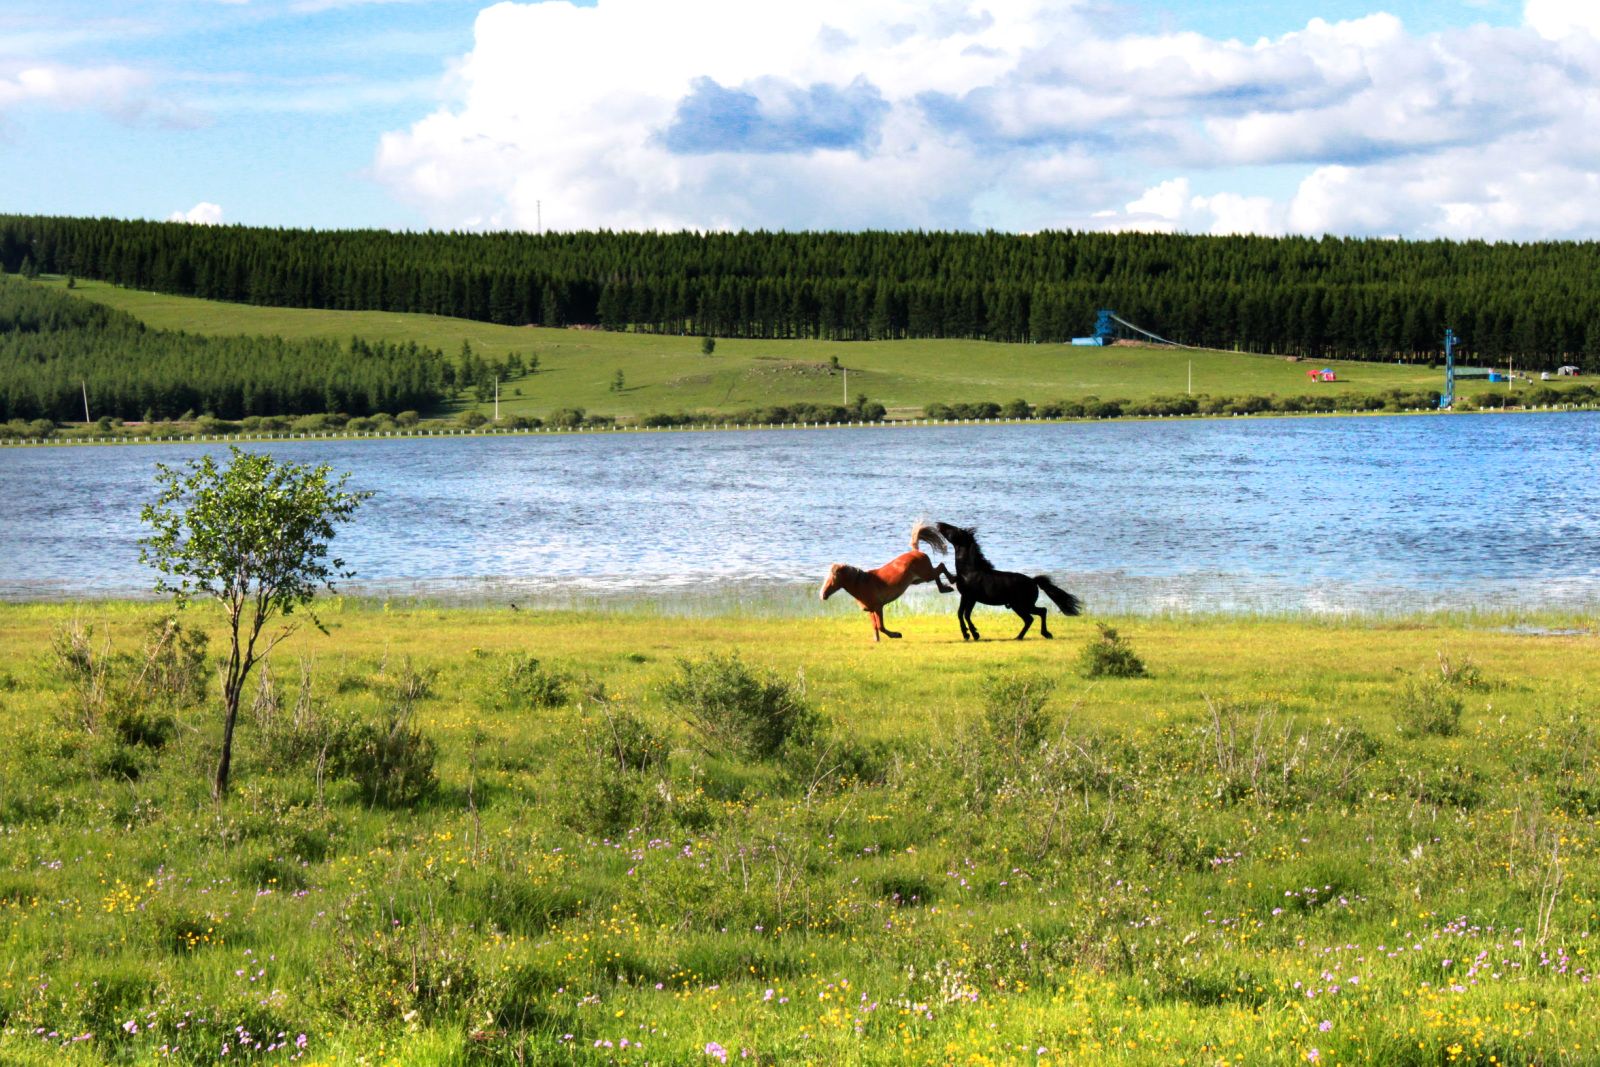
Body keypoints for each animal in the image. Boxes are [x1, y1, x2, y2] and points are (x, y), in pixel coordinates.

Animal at [819, 518, 953, 639]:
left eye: (833, 579)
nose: (822, 595)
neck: (862, 584)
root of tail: (916, 551)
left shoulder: (878, 607)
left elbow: (881, 627)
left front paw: (896, 635)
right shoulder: (871, 610)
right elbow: (875, 627)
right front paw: (877, 641)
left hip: (926, 575)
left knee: (940, 567)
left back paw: (950, 583)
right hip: (918, 580)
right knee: (938, 572)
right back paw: (945, 588)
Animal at [915, 521, 1088, 639]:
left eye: (955, 530)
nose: (940, 524)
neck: (969, 571)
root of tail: (1034, 582)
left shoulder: (971, 597)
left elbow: (965, 614)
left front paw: (973, 633)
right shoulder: (966, 597)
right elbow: (960, 613)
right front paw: (970, 634)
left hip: (1021, 605)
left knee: (1035, 615)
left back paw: (1029, 636)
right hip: (1021, 606)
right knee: (1037, 615)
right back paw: (1031, 635)